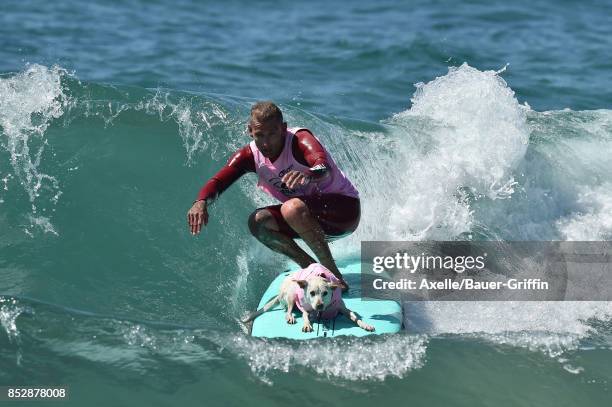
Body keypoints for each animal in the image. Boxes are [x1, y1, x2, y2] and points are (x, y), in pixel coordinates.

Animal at [244, 262, 372, 334]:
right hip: (291, 293)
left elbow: (354, 316)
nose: (319, 305)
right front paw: (307, 324)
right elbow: (305, 315)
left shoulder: (342, 307)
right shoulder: (304, 307)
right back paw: (290, 316)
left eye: (325, 293)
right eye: (312, 293)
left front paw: (365, 324)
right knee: (288, 310)